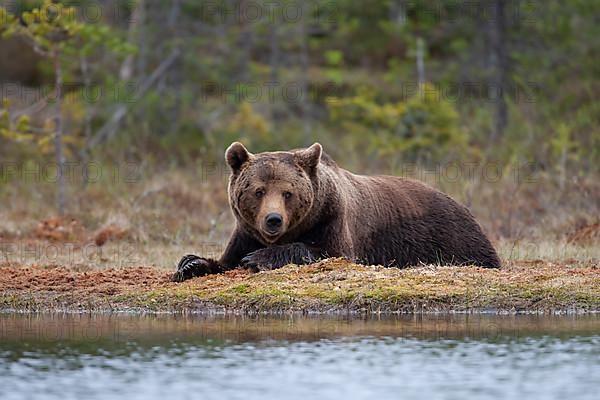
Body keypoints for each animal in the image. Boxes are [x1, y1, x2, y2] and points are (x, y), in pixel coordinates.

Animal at [173, 141, 502, 282]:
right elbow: (225, 260)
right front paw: (190, 264)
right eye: (258, 191)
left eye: (288, 193)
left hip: (452, 236)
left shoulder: (333, 218)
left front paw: (258, 258)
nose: (273, 220)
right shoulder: (245, 230)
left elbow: (329, 253)